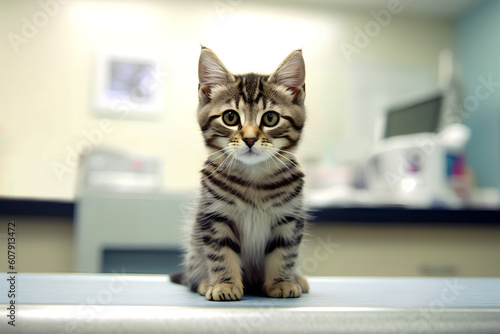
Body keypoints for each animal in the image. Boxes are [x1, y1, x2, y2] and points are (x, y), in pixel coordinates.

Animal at [172, 46, 308, 300]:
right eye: (230, 117)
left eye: (270, 118)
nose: (250, 139)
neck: (253, 177)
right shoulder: (215, 217)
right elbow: (220, 254)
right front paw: (224, 285)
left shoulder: (288, 218)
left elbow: (284, 253)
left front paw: (282, 282)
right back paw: (204, 282)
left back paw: (298, 279)